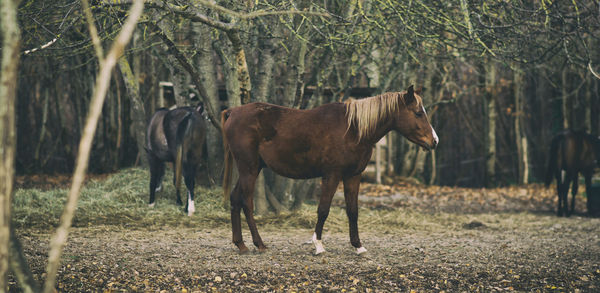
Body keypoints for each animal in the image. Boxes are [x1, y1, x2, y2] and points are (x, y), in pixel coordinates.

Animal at [223, 84, 438, 253]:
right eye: (418, 113)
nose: (434, 141)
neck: (353, 129)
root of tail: (233, 111)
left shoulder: (353, 176)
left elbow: (352, 210)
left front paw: (358, 245)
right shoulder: (332, 176)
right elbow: (323, 209)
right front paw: (318, 245)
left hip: (251, 169)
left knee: (235, 199)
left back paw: (240, 244)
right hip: (249, 169)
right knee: (246, 202)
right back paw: (259, 244)